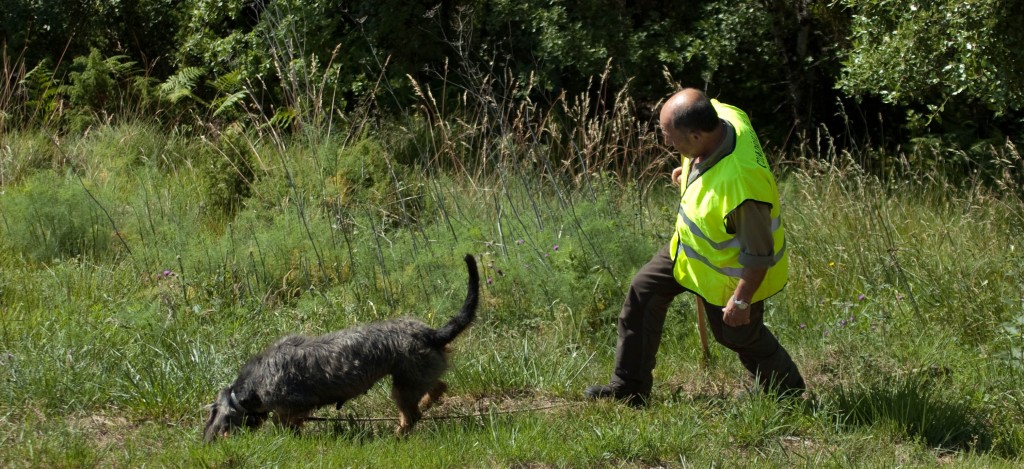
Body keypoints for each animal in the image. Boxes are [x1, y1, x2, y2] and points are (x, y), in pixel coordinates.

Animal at [207, 252, 483, 440]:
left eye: (212, 413)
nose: (206, 440)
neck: (254, 383)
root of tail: (431, 334)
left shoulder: (292, 405)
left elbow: (283, 422)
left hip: (404, 386)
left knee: (411, 416)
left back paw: (396, 434)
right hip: (417, 375)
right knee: (438, 386)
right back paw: (426, 403)